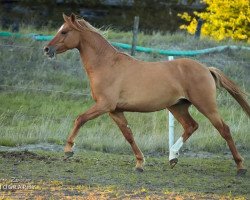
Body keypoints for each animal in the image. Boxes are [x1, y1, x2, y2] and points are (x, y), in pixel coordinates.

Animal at [45, 13, 250, 176]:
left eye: (64, 32)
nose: (47, 49)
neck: (107, 64)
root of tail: (206, 69)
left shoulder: (104, 105)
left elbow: (80, 118)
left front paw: (68, 149)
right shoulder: (114, 110)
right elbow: (128, 135)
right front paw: (139, 164)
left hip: (206, 105)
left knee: (224, 129)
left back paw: (240, 167)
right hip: (177, 106)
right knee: (191, 126)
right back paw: (172, 157)